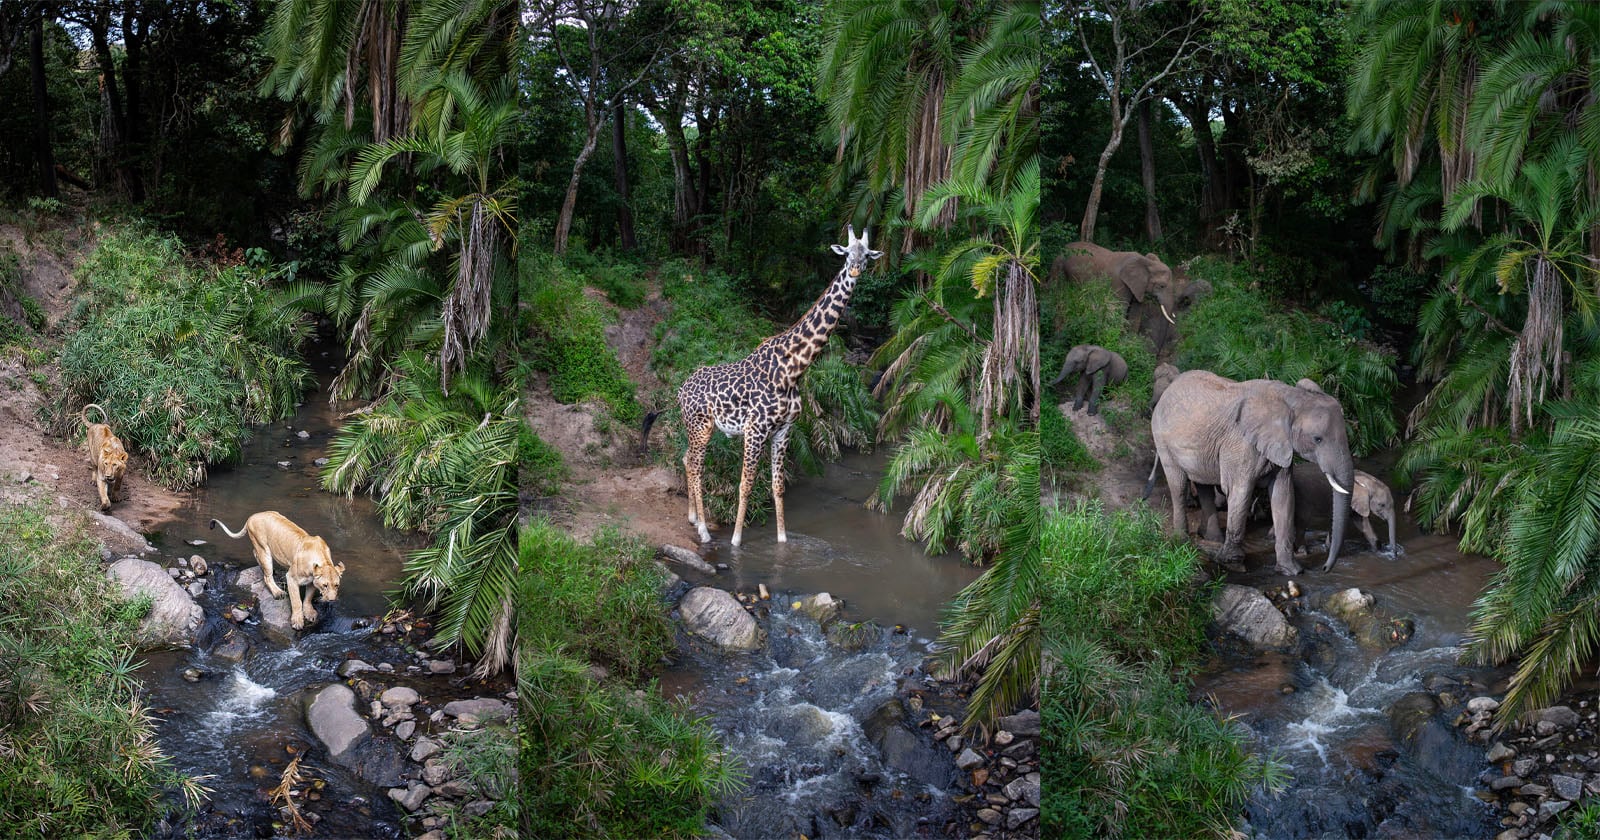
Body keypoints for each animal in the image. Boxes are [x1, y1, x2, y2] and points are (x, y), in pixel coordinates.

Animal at [209, 512, 344, 631]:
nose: (332, 600)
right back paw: (278, 592)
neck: (323, 559)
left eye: (337, 585)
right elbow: (296, 601)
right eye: (325, 585)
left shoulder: (312, 581)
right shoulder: (291, 577)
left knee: (255, 554)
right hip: (264, 550)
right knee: (266, 576)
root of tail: (252, 517)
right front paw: (297, 621)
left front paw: (310, 613)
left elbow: (308, 598)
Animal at [677, 226, 883, 546]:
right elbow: (746, 484)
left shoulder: (784, 430)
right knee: (697, 466)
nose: (855, 269)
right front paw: (736, 541)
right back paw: (704, 531)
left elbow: (777, 486)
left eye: (867, 255)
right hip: (702, 425)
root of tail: (681, 389)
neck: (793, 368)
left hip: (697, 427)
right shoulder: (755, 429)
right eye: (848, 253)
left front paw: (783, 540)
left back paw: (694, 518)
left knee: (688, 460)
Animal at [1150, 371, 1355, 576]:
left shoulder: (1280, 445)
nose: (1325, 568)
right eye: (1317, 439)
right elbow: (1240, 491)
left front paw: (1291, 571)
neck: (1291, 398)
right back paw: (1181, 542)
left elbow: (1283, 495)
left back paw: (1212, 538)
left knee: (1203, 484)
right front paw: (1233, 565)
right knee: (1178, 485)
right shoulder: (1241, 444)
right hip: (1162, 439)